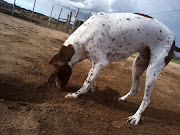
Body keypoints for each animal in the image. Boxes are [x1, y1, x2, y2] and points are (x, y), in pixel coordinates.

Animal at [48, 12, 180, 125]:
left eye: (58, 73)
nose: (58, 87)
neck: (84, 35)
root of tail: (173, 40)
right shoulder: (95, 62)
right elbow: (91, 77)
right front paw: (94, 88)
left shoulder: (101, 62)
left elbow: (86, 82)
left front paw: (75, 94)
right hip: (138, 64)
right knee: (135, 88)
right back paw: (123, 98)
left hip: (152, 70)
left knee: (146, 99)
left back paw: (136, 117)